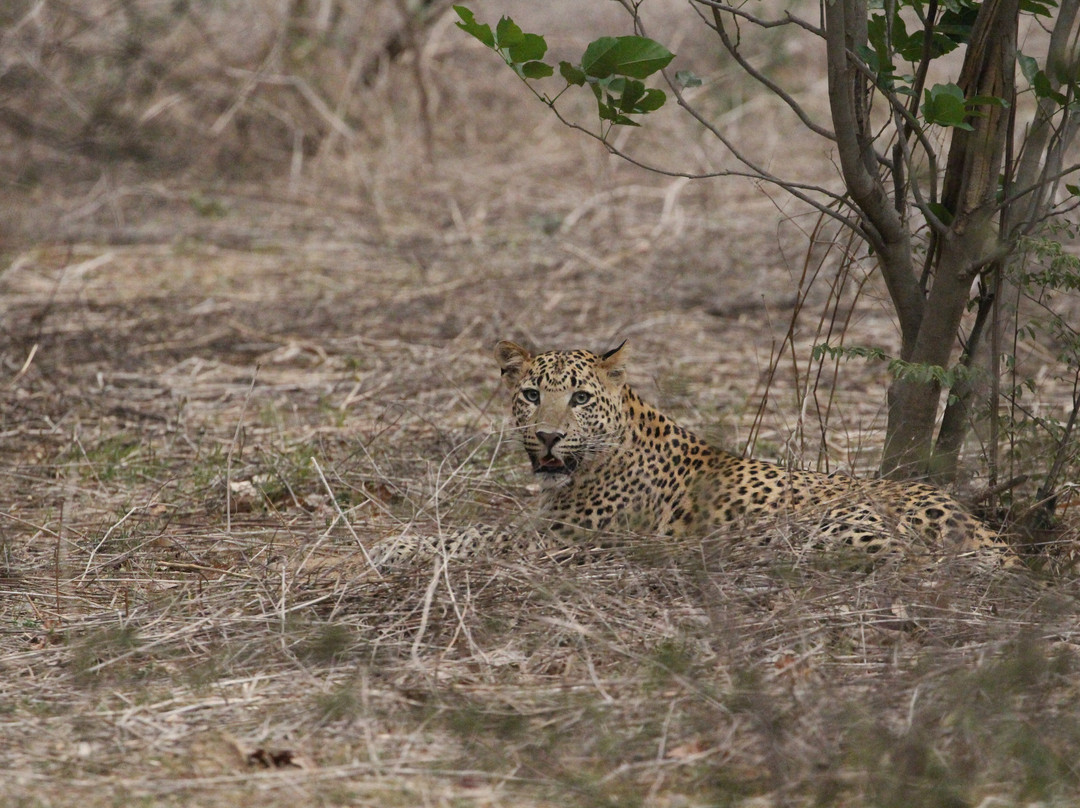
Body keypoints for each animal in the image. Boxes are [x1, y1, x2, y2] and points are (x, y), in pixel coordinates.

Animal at [491, 339, 1017, 568]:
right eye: (532, 395)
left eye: (580, 398)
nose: (547, 436)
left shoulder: (559, 533)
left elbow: (485, 537)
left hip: (830, 526)